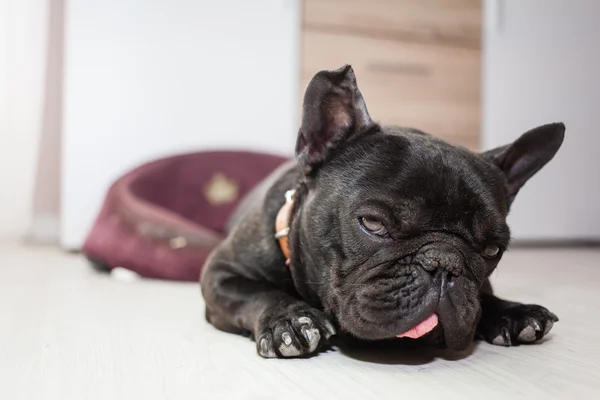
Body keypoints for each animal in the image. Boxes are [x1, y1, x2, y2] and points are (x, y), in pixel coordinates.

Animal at [202, 64, 564, 358]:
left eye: (491, 250)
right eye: (373, 224)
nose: (445, 263)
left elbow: (484, 295)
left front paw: (513, 312)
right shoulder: (220, 274)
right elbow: (256, 293)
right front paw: (289, 318)